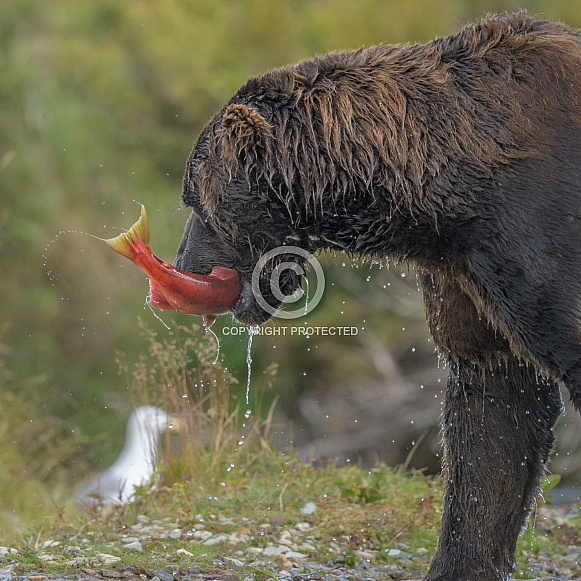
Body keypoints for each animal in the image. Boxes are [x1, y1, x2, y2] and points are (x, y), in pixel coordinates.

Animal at [172, 12, 580, 580]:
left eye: (195, 199)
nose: (181, 263)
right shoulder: (468, 272)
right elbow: (495, 409)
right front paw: (459, 562)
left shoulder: (536, 227)